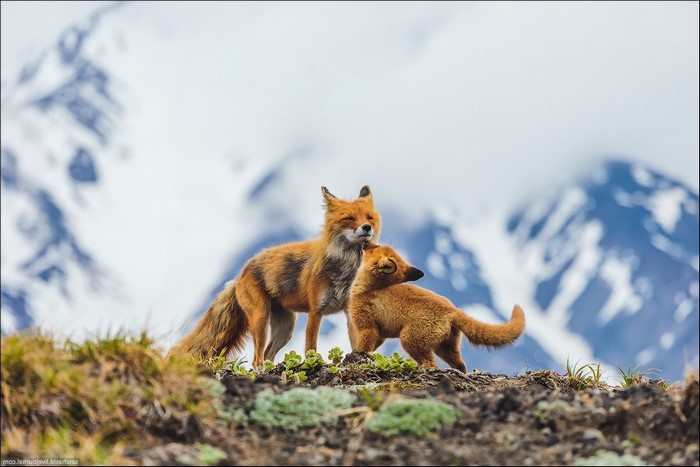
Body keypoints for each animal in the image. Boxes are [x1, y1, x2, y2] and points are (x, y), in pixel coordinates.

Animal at [175, 185, 381, 367]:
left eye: (369, 217)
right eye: (348, 218)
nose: (366, 227)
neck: (345, 271)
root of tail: (240, 273)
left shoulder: (349, 310)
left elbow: (356, 343)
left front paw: (359, 359)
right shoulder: (316, 311)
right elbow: (311, 347)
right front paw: (314, 363)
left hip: (285, 329)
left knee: (267, 355)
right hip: (260, 319)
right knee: (257, 359)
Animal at [348, 243, 526, 372]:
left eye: (374, 247)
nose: (365, 241)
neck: (369, 288)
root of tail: (452, 309)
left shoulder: (368, 328)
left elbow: (362, 348)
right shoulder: (380, 335)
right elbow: (369, 349)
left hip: (409, 340)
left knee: (431, 364)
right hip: (445, 348)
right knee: (460, 365)